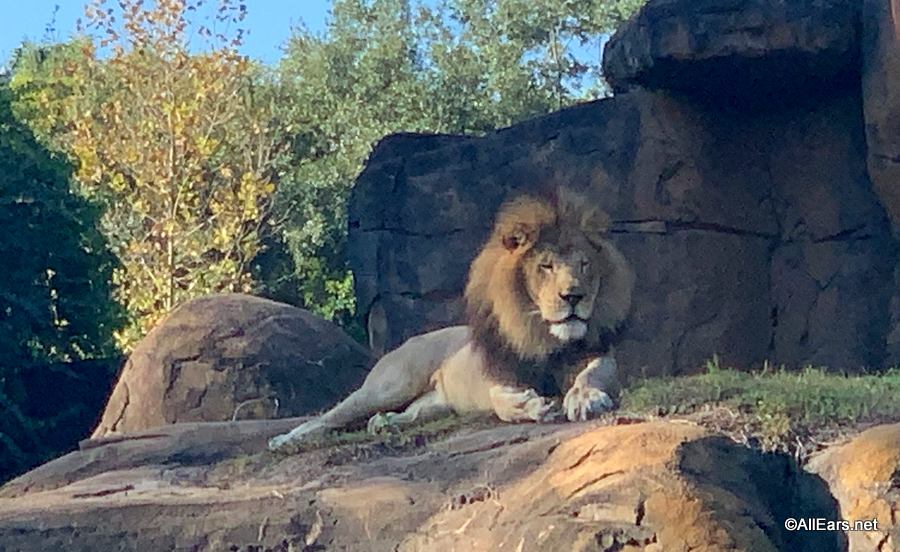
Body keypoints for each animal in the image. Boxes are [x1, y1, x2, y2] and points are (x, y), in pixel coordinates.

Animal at [268, 187, 632, 452]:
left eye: (585, 265)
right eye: (546, 266)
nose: (574, 296)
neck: (543, 334)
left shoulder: (599, 356)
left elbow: (592, 373)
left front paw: (585, 397)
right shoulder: (496, 373)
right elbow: (500, 400)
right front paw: (532, 406)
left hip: (436, 404)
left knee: (412, 413)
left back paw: (385, 424)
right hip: (390, 385)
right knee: (330, 416)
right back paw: (287, 439)